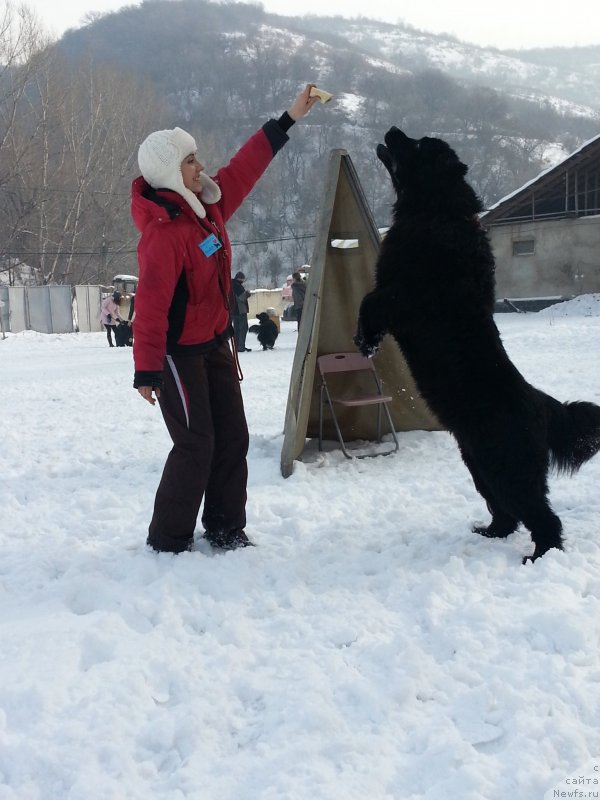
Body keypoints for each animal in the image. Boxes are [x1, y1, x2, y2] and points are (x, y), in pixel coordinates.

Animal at [354, 126, 600, 564]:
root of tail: (542, 405)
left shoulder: (404, 295)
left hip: (508, 469)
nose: (393, 131)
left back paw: (538, 557)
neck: (436, 212)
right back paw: (489, 532)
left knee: (543, 517)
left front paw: (365, 341)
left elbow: (370, 302)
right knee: (507, 514)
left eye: (418, 145)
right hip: (479, 465)